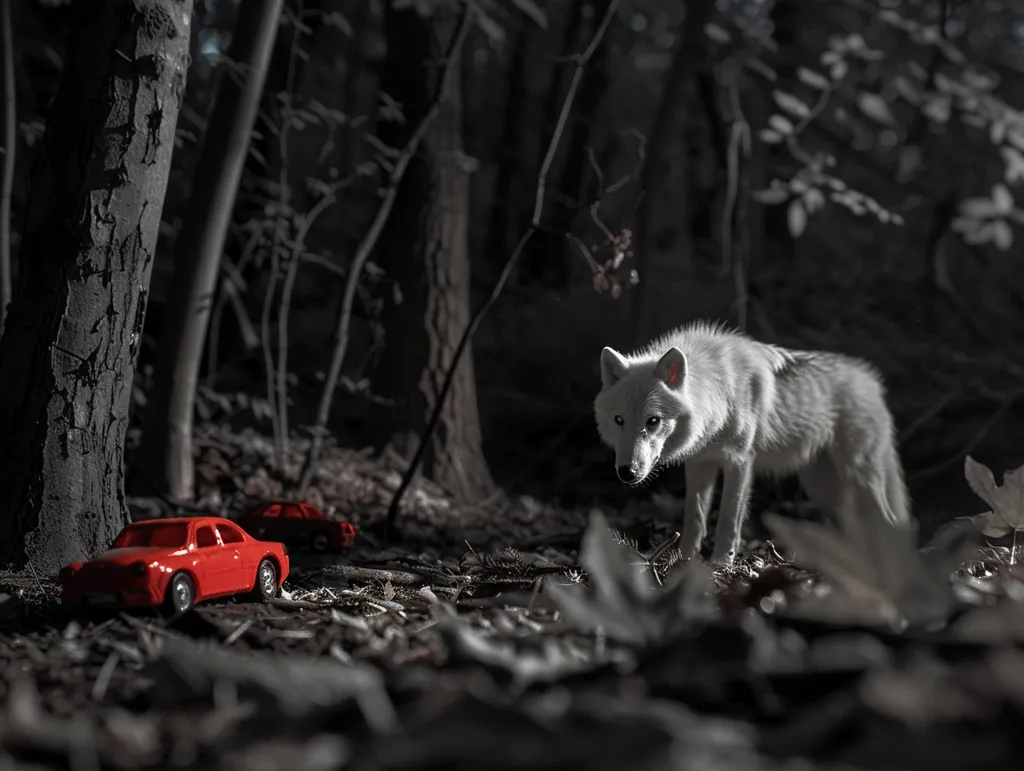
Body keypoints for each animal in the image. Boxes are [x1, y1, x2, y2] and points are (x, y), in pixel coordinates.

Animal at [593, 321, 911, 565]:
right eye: (619, 420)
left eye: (653, 421)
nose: (627, 473)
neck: (718, 394)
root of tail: (871, 381)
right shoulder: (700, 464)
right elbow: (695, 518)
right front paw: (681, 562)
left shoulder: (740, 462)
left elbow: (728, 519)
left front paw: (721, 565)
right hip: (824, 490)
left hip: (858, 477)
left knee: (889, 524)